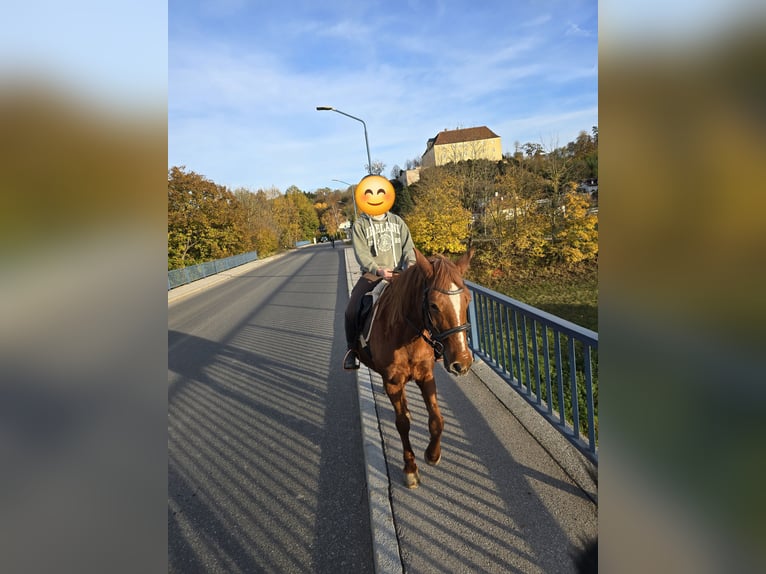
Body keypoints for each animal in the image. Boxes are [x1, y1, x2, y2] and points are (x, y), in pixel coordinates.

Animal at [354, 247, 475, 488]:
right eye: (434, 305)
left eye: (467, 300)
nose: (462, 362)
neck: (404, 333)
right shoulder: (393, 383)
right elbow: (402, 424)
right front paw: (410, 468)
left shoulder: (426, 376)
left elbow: (437, 419)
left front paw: (432, 454)